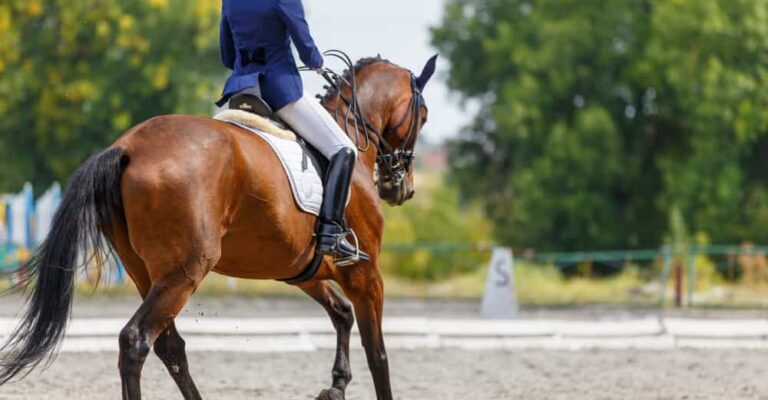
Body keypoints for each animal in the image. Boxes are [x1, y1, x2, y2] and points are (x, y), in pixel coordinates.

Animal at [0, 53, 437, 400]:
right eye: (424, 116)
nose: (402, 188)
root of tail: (127, 147)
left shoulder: (303, 270)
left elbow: (342, 314)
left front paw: (336, 386)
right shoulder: (365, 272)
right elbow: (377, 353)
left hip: (147, 273)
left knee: (169, 346)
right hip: (185, 272)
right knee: (137, 341)